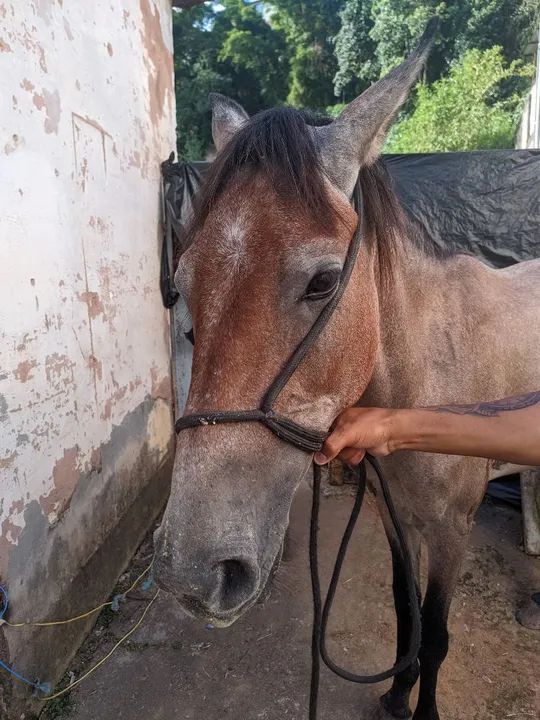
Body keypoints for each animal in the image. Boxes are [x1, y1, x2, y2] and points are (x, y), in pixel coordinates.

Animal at [154, 23, 540, 720]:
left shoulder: (452, 530)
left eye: (324, 282)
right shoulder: (395, 517)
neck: (426, 381)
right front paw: (394, 695)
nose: (190, 572)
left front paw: (423, 707)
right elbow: (405, 617)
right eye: (184, 282)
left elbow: (435, 634)